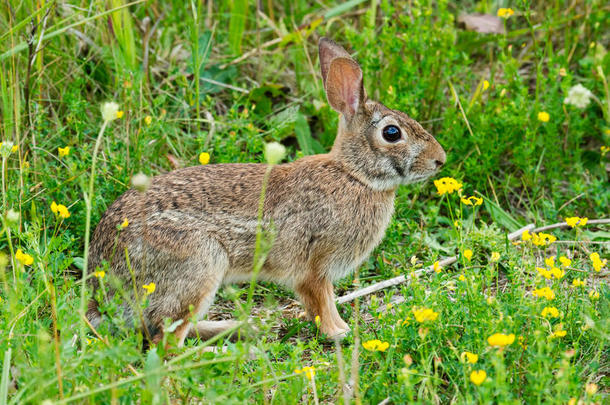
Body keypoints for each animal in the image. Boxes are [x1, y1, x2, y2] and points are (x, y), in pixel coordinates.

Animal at [85, 37, 444, 344]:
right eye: (392, 133)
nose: (439, 160)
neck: (354, 175)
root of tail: (102, 289)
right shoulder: (314, 268)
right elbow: (322, 303)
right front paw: (340, 333)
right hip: (200, 264)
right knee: (165, 342)